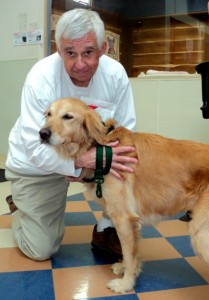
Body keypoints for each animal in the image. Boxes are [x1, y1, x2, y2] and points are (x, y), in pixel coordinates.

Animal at [39, 98, 209, 292]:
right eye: (49, 114)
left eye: (68, 116)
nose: (42, 133)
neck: (102, 147)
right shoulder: (130, 221)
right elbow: (133, 254)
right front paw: (127, 270)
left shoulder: (123, 219)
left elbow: (129, 254)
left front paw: (125, 283)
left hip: (202, 234)